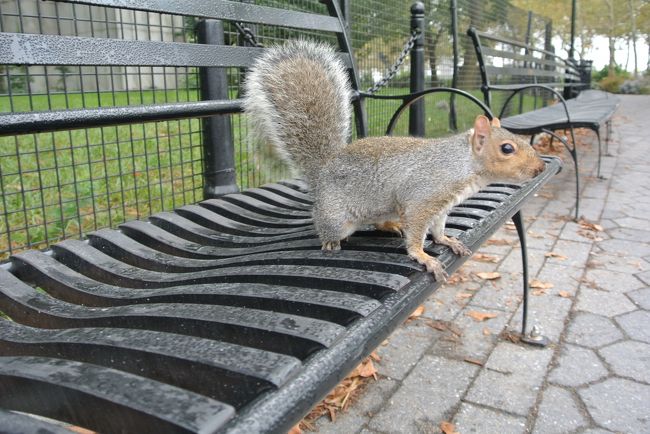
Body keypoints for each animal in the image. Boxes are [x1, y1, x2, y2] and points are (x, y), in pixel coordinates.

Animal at [240, 40, 544, 282]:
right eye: (507, 148)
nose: (539, 168)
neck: (461, 164)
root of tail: (323, 172)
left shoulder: (441, 207)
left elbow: (438, 228)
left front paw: (446, 240)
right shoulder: (423, 198)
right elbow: (418, 232)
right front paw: (423, 256)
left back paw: (389, 225)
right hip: (336, 216)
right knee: (327, 226)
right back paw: (330, 242)